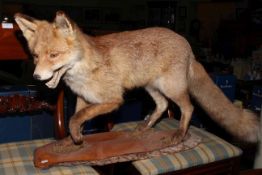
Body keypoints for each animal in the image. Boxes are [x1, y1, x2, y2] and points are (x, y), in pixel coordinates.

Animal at [14, 11, 260, 144]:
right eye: (36, 56)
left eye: (53, 55)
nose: (36, 76)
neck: (84, 70)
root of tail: (186, 44)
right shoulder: (83, 98)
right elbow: (77, 119)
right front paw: (73, 140)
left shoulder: (113, 100)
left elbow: (76, 118)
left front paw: (76, 137)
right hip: (151, 88)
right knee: (162, 106)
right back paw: (145, 127)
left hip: (171, 88)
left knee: (188, 108)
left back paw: (180, 133)